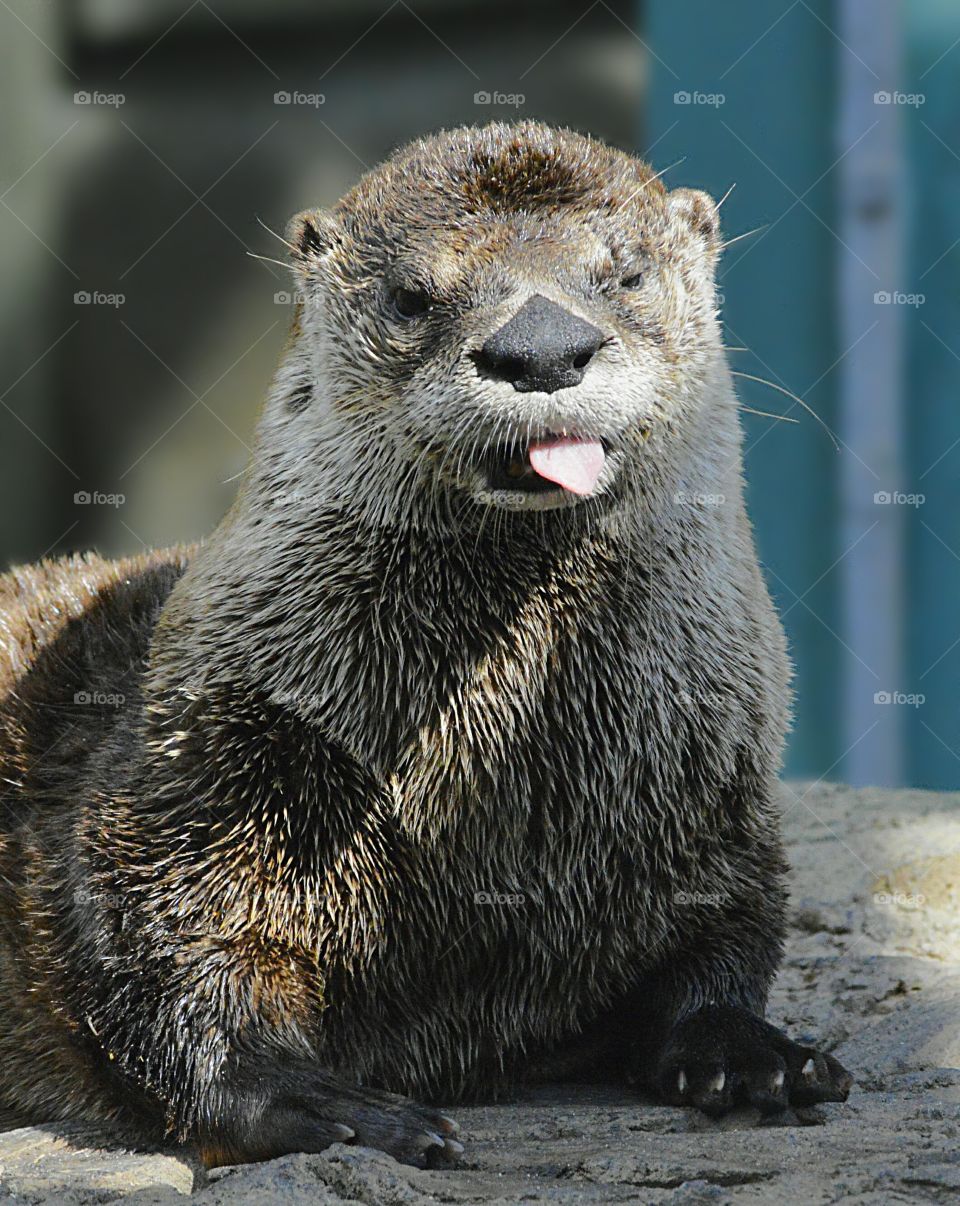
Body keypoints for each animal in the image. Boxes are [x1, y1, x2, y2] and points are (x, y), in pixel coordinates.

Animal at [0, 121, 851, 1167]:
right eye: (414, 296)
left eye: (625, 275)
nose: (542, 347)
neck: (492, 779)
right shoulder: (200, 753)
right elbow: (159, 940)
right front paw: (332, 1104)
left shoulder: (716, 792)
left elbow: (726, 940)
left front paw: (753, 1055)